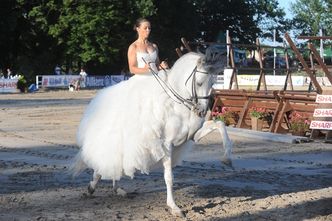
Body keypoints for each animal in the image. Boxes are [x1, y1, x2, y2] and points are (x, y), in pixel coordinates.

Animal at [71, 45, 232, 217]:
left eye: (213, 83)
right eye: (199, 82)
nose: (201, 111)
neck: (177, 104)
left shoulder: (193, 135)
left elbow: (220, 124)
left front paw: (227, 159)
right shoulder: (167, 144)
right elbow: (169, 177)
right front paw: (174, 207)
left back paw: (115, 189)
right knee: (106, 159)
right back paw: (93, 188)